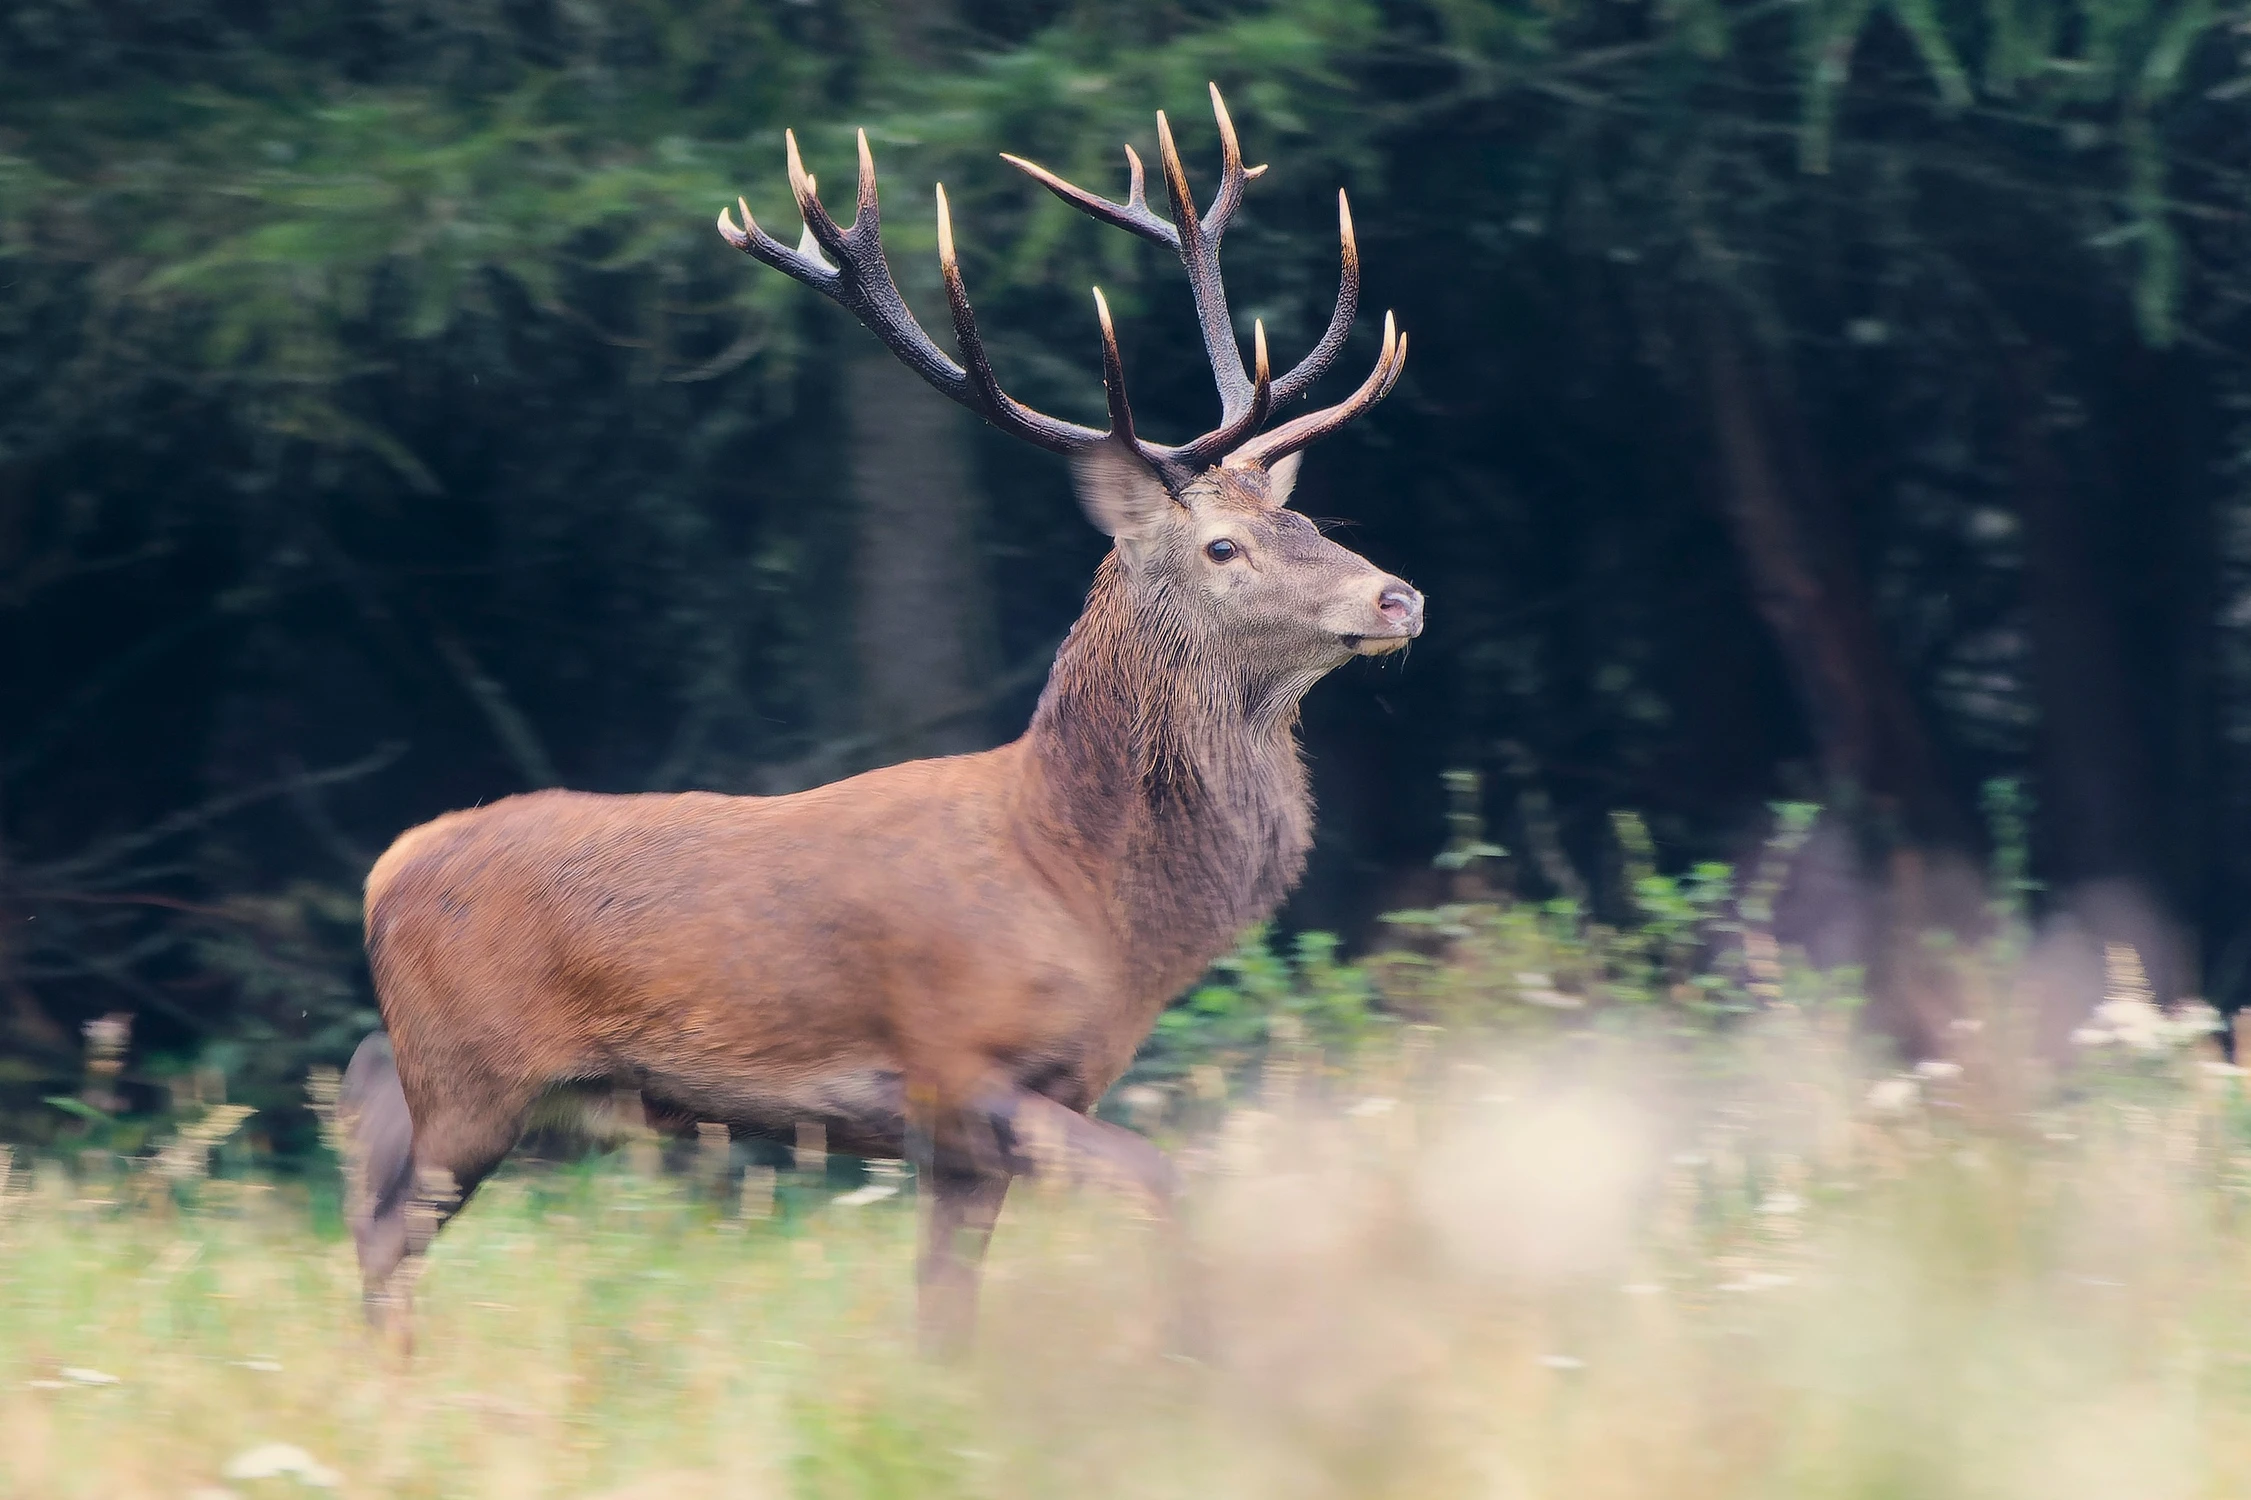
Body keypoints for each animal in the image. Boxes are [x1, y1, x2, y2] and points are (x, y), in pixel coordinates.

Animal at [339, 84, 1421, 1355]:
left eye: (1310, 522)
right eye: (1221, 546)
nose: (1397, 596)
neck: (1085, 891)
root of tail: (385, 870)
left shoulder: (989, 1128)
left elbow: (943, 1308)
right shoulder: (956, 1066)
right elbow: (1166, 1181)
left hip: (468, 1084)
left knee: (362, 1125)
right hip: (472, 1076)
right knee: (385, 1223)